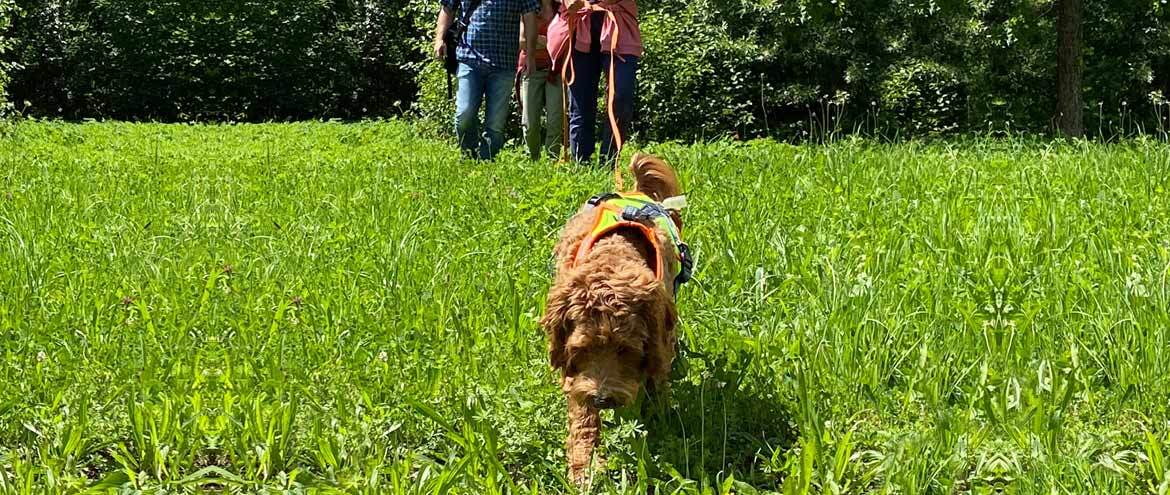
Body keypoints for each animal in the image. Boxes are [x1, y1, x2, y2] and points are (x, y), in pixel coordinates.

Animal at [538, 154, 683, 484]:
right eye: (580, 350)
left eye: (626, 350)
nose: (603, 399)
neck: (613, 255)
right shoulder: (577, 374)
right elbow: (582, 415)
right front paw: (584, 466)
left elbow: (657, 376)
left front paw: (662, 416)